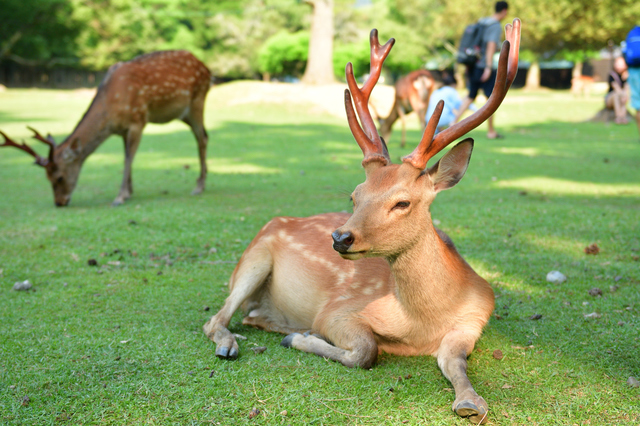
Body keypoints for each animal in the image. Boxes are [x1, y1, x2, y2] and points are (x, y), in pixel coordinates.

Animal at [0, 50, 210, 206]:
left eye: (59, 177)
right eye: (46, 178)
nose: (59, 202)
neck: (111, 110)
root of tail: (207, 68)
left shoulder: (138, 120)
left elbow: (128, 158)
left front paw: (119, 197)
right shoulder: (122, 130)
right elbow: (127, 156)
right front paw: (128, 192)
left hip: (197, 100)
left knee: (202, 138)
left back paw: (199, 187)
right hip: (184, 114)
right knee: (205, 136)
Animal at [205, 20, 520, 426]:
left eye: (402, 202)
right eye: (355, 195)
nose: (339, 237)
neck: (423, 324)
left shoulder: (474, 319)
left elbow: (454, 362)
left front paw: (470, 401)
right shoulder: (338, 311)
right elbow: (367, 350)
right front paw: (301, 339)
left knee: (250, 315)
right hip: (253, 260)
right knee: (217, 319)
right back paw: (236, 343)